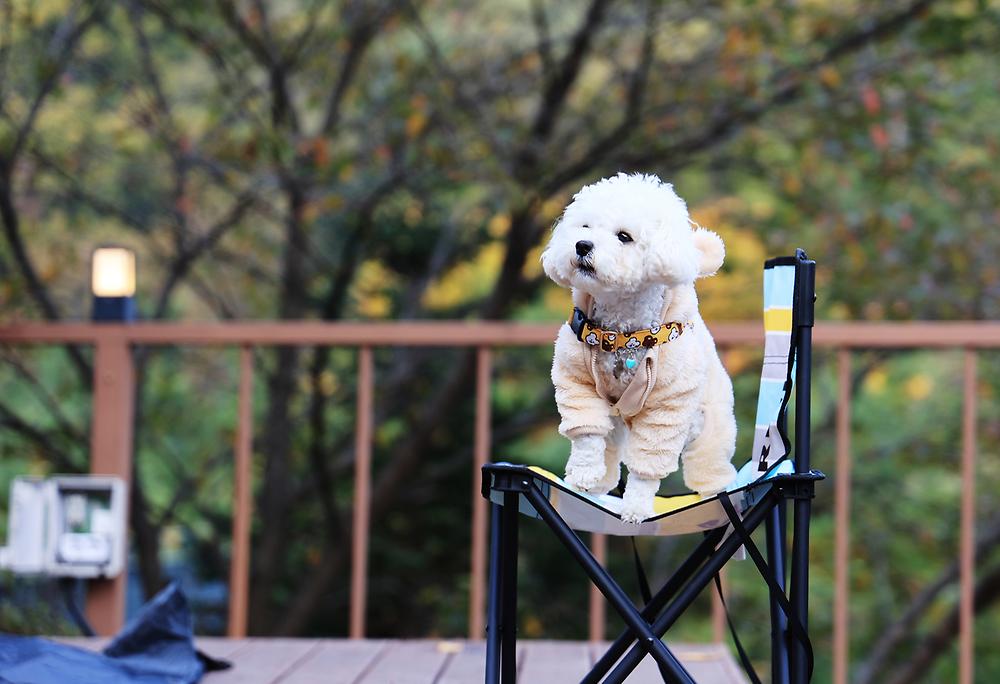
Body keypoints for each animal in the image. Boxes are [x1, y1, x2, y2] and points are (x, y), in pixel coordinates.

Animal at [544, 172, 740, 524]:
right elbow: (587, 436)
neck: (622, 333)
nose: (582, 245)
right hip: (615, 422)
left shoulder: (667, 408)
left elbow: (645, 470)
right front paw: (583, 475)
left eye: (624, 236)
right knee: (607, 446)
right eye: (584, 227)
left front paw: (635, 509)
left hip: (710, 427)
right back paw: (595, 486)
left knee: (710, 466)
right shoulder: (577, 381)